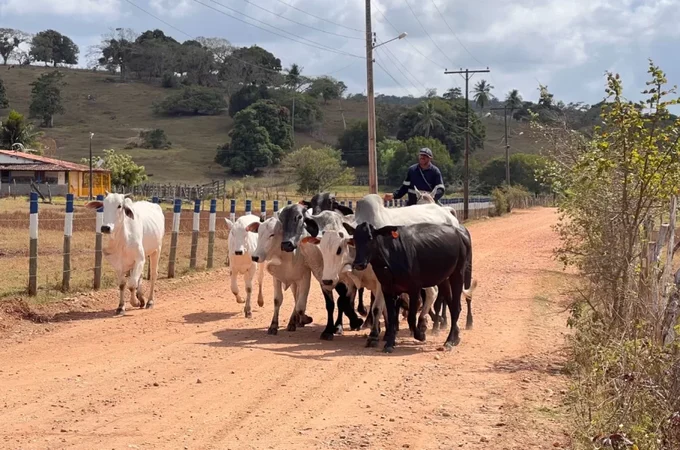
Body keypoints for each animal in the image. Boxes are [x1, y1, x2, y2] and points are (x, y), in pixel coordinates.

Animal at [346, 220, 468, 354]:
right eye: (355, 239)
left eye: (370, 237)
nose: (358, 264)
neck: (390, 258)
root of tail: (458, 232)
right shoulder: (387, 290)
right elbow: (392, 318)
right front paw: (389, 344)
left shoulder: (414, 289)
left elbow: (411, 317)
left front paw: (420, 335)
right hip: (443, 280)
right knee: (452, 305)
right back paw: (456, 337)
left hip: (458, 274)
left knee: (456, 307)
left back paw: (449, 341)